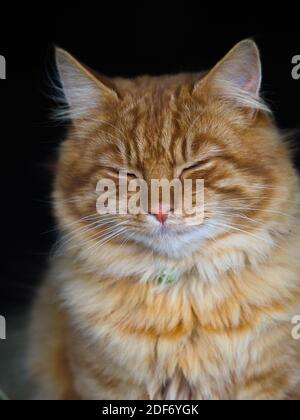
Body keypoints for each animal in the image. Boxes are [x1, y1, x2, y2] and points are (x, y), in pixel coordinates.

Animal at [27, 40, 300, 400]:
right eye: (126, 174)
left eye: (194, 166)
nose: (159, 209)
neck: (184, 297)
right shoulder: (104, 385)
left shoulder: (273, 382)